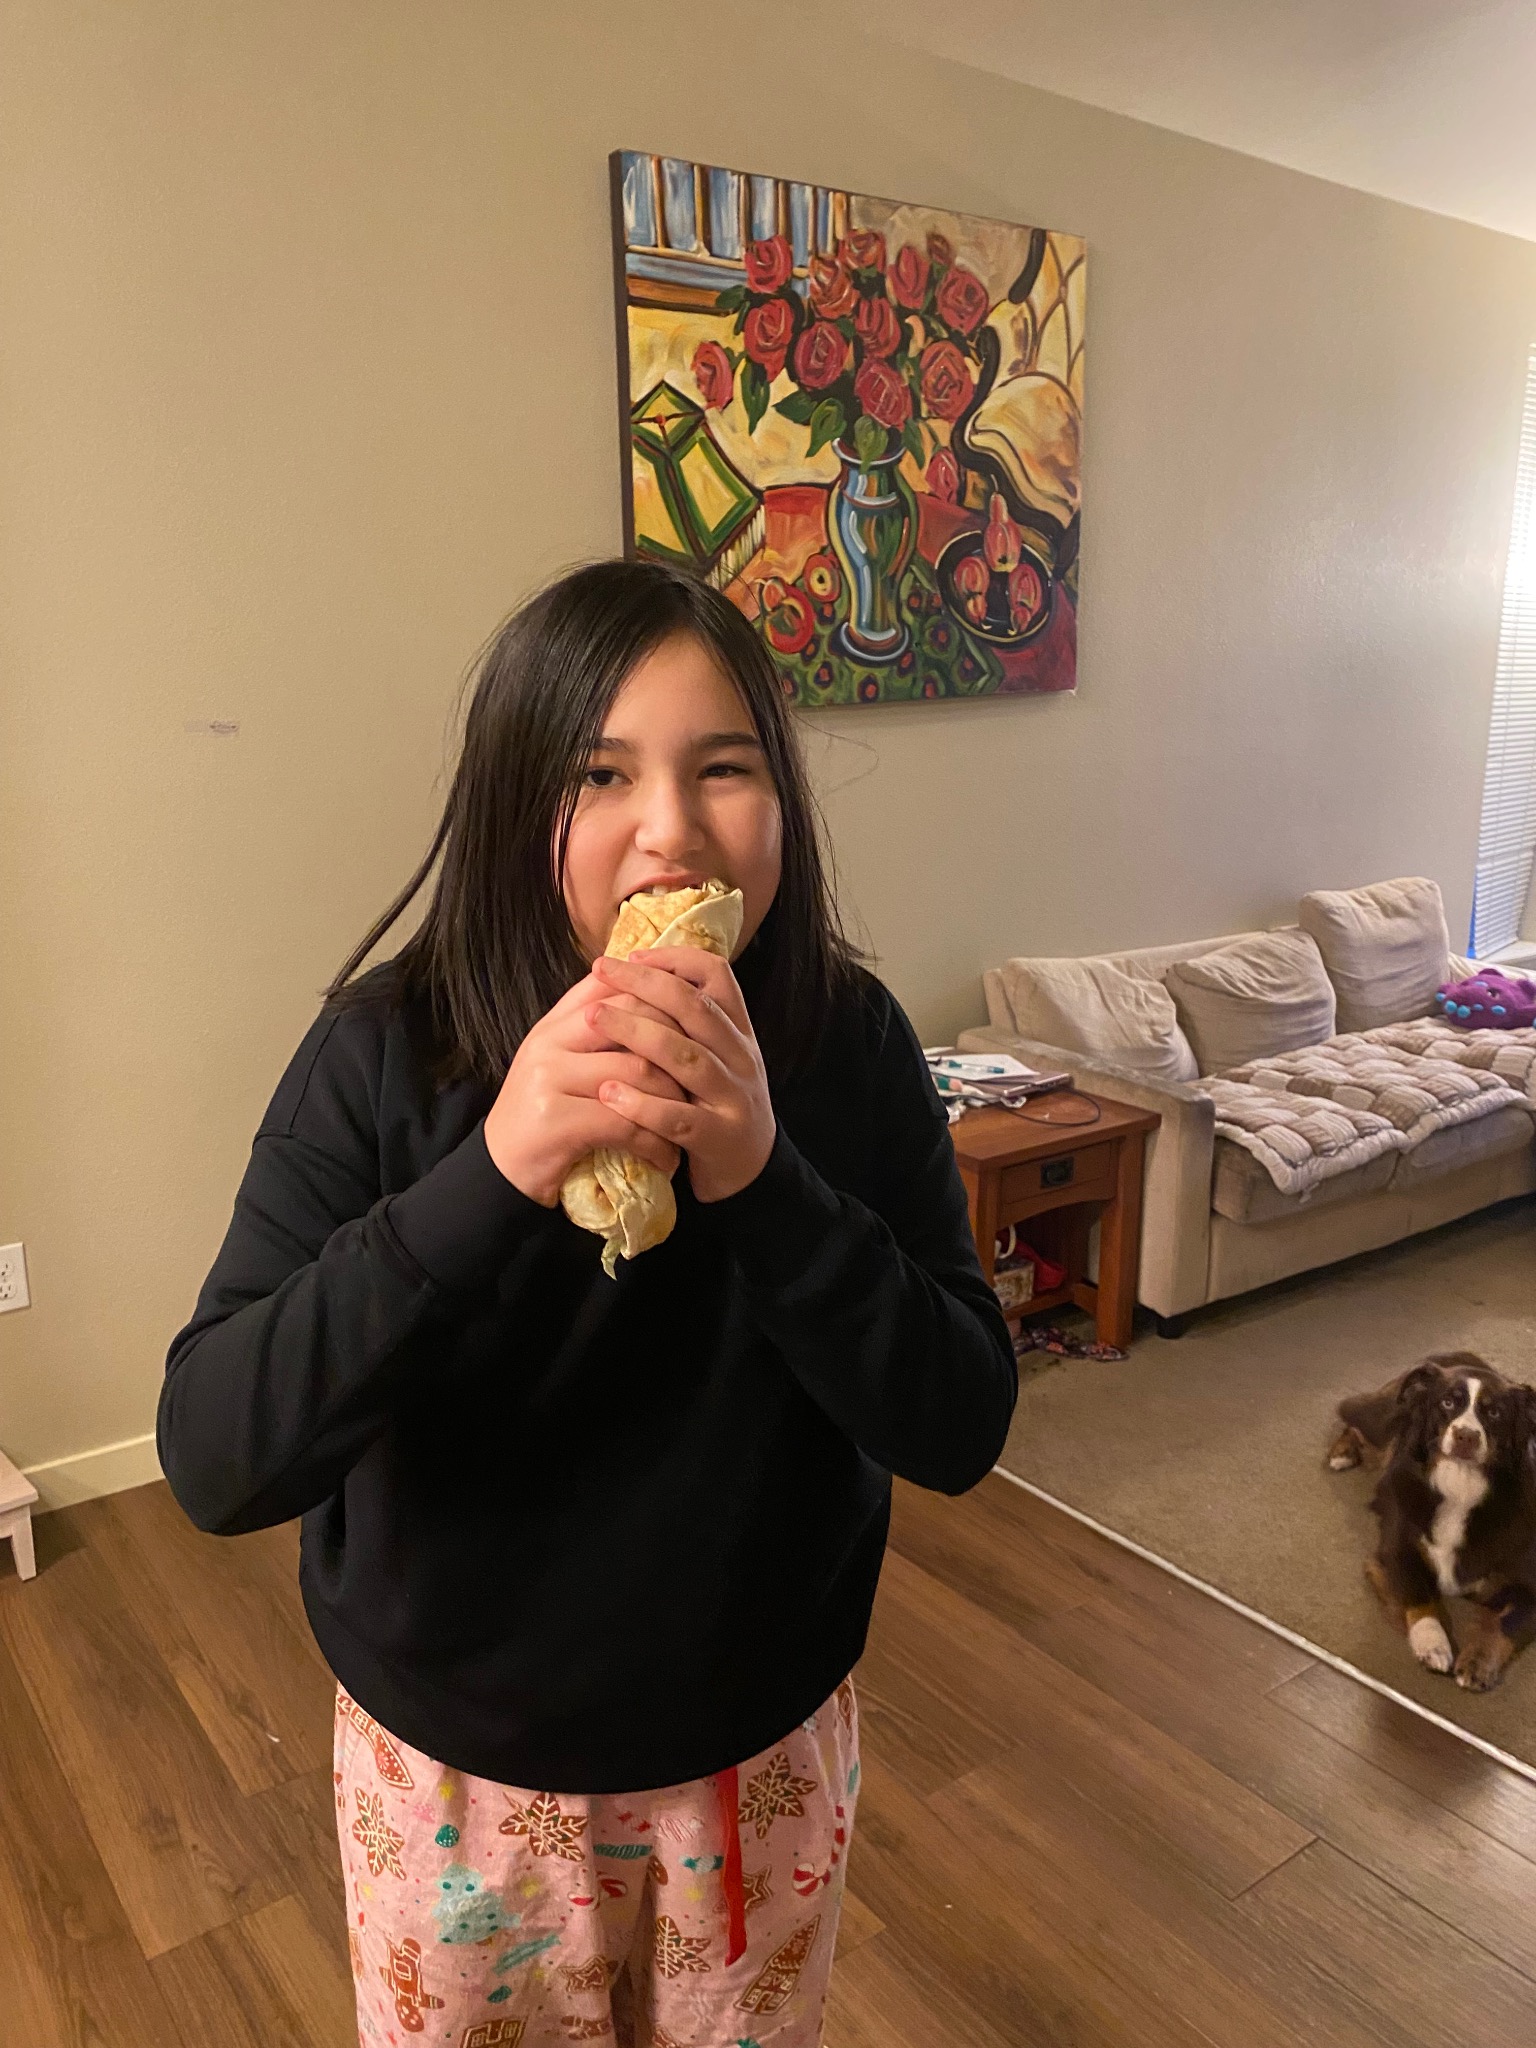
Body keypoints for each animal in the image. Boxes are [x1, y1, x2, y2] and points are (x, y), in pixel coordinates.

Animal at [1327, 1353, 1536, 1692]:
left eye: (1494, 1412)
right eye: (1448, 1403)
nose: (1466, 1436)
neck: (1461, 1485)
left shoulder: (1529, 1582)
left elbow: (1503, 1623)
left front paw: (1478, 1662)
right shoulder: (1397, 1551)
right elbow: (1418, 1596)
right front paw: (1432, 1645)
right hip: (1381, 1421)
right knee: (1352, 1420)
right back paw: (1342, 1452)